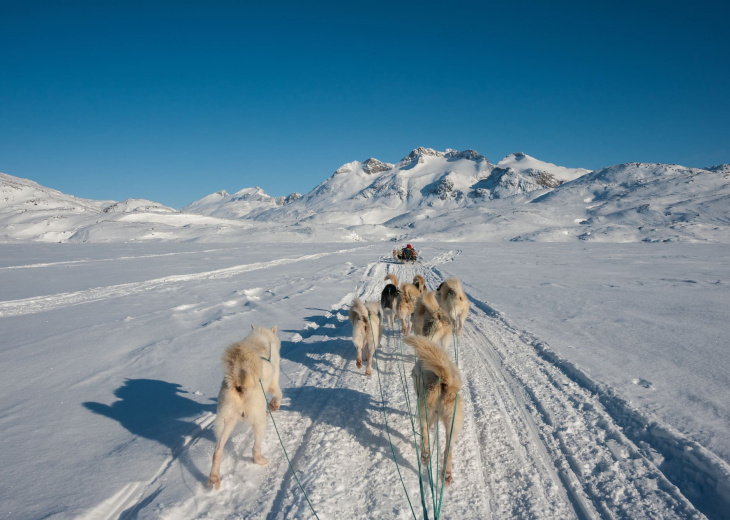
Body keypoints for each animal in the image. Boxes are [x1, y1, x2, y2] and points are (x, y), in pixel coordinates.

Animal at [209, 322, 282, 490]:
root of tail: (238, 382)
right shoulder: (273, 383)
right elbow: (278, 393)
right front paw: (274, 405)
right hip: (258, 421)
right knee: (255, 448)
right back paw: (260, 460)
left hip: (226, 422)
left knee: (217, 452)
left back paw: (214, 479)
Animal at [400, 336, 464, 486]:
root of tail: (445, 382)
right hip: (452, 427)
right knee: (448, 450)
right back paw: (446, 475)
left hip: (425, 413)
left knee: (425, 434)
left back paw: (425, 456)